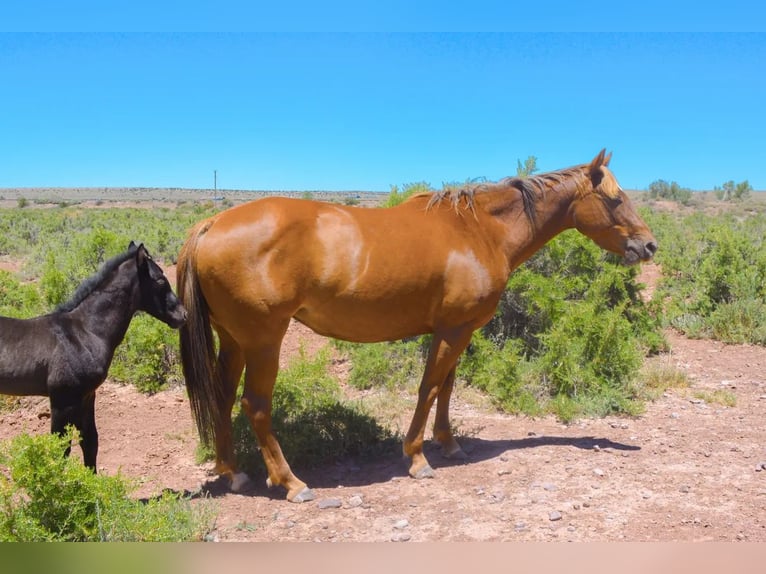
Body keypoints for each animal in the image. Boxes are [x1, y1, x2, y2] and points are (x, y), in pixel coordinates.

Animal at [177, 150, 656, 504]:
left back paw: (233, 473)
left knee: (223, 399)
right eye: (615, 199)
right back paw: (292, 483)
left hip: (233, 341)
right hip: (264, 341)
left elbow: (447, 387)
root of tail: (212, 224)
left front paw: (449, 443)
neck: (480, 231)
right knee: (255, 406)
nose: (649, 245)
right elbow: (429, 387)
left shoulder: (460, 329)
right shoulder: (452, 330)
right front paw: (417, 458)